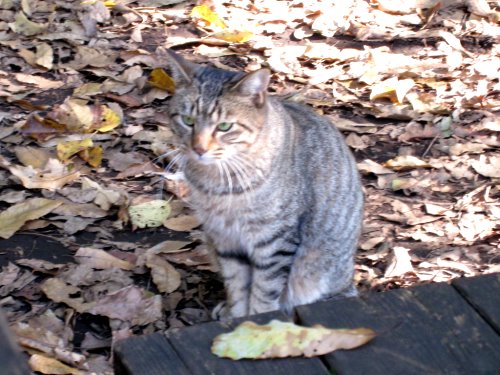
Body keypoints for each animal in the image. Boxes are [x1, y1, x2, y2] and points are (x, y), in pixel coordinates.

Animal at [164, 48, 364, 318]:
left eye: (224, 126)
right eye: (187, 120)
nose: (199, 149)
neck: (219, 181)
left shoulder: (275, 242)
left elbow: (264, 293)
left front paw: (258, 319)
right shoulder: (224, 238)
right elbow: (237, 286)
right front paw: (236, 316)